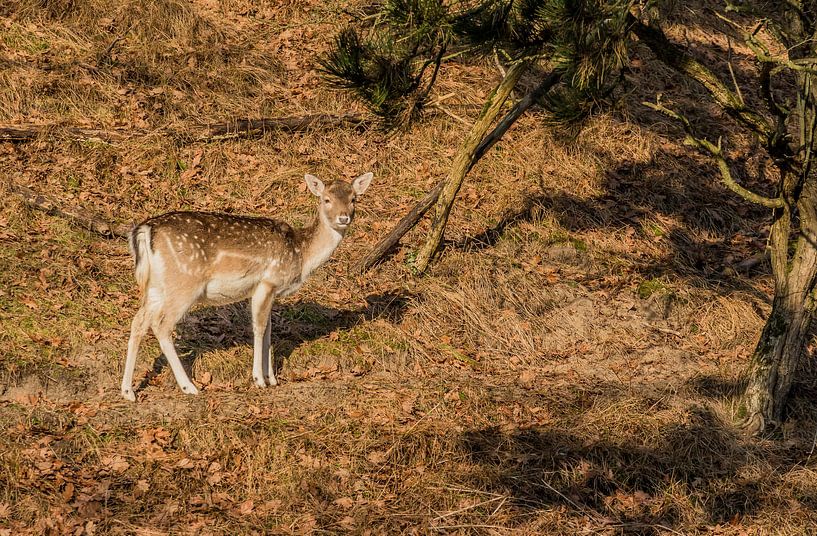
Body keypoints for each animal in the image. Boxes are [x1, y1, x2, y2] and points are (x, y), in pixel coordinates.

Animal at [118, 174, 372, 400]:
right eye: (326, 199)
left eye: (354, 199)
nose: (343, 218)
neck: (301, 255)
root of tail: (145, 230)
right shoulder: (267, 281)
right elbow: (259, 328)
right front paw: (259, 379)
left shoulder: (271, 290)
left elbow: (269, 329)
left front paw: (272, 378)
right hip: (183, 283)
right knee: (161, 325)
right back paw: (188, 387)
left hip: (156, 286)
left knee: (138, 321)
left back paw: (128, 391)